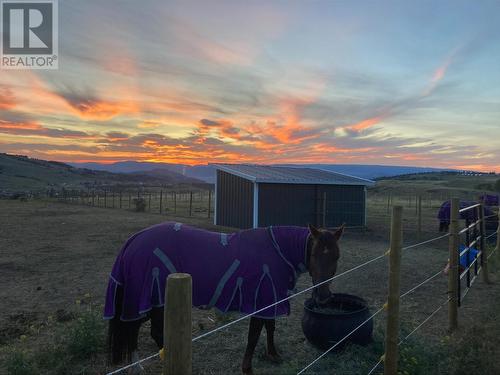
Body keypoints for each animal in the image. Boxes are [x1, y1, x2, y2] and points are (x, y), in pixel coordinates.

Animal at [103, 222, 342, 374]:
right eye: (314, 254)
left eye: (337, 257)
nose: (323, 298)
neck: (277, 251)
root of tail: (135, 239)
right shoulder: (261, 301)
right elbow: (254, 335)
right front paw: (247, 368)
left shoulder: (269, 300)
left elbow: (270, 328)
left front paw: (273, 355)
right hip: (148, 298)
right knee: (137, 330)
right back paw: (141, 366)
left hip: (155, 302)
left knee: (145, 330)